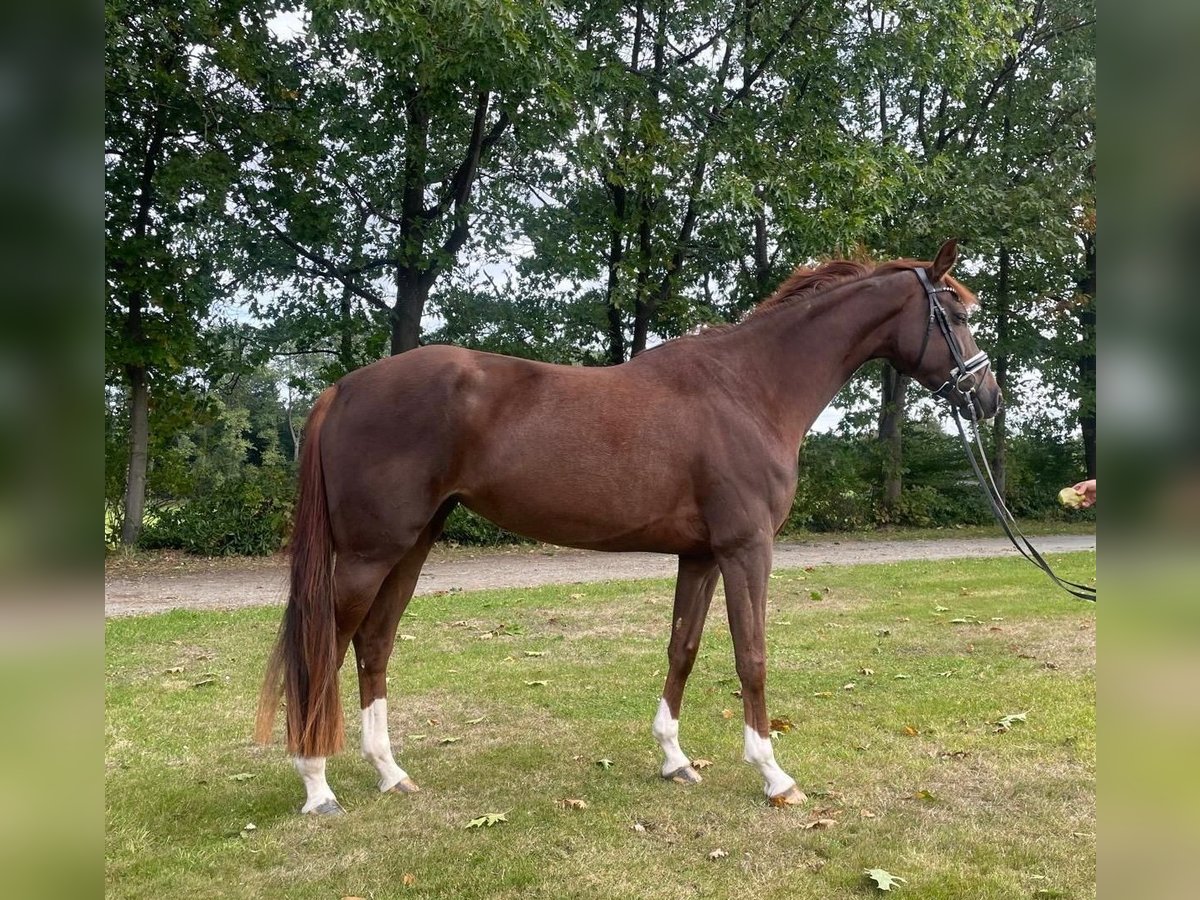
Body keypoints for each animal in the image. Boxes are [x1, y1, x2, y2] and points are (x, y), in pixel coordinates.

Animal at [255, 239, 1001, 814]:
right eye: (955, 313)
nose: (988, 398)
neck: (750, 388)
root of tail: (343, 388)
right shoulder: (747, 549)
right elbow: (751, 656)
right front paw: (774, 776)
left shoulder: (701, 556)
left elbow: (684, 649)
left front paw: (676, 760)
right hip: (369, 553)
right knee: (325, 646)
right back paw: (317, 786)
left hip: (411, 545)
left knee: (374, 644)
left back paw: (390, 773)